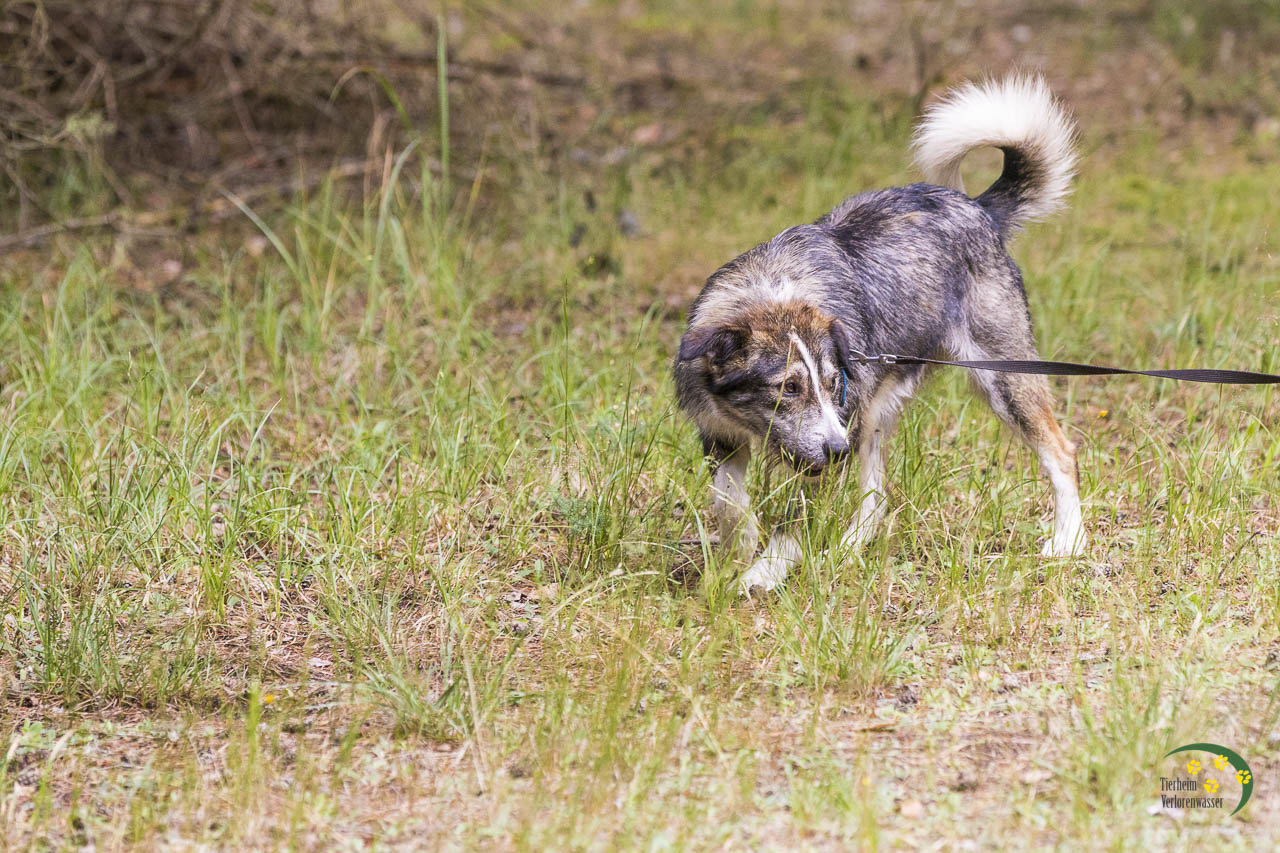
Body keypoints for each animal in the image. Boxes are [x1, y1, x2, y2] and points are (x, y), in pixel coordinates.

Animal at [673, 75, 1086, 593]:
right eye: (789, 388)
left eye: (833, 383)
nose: (837, 450)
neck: (773, 287)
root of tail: (978, 208)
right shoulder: (721, 436)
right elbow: (729, 501)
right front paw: (737, 552)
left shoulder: (837, 429)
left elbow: (792, 522)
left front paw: (762, 573)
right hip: (875, 412)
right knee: (876, 497)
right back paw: (846, 551)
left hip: (1000, 378)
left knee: (1061, 451)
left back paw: (1069, 540)